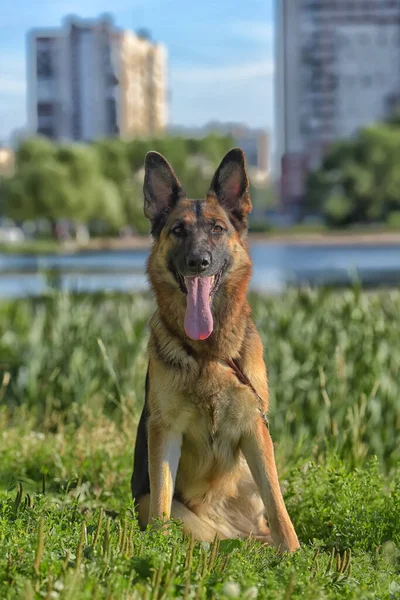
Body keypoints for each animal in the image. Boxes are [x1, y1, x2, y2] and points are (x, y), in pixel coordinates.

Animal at [131, 148, 300, 552]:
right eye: (178, 230)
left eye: (217, 229)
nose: (198, 261)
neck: (207, 354)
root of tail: (231, 533)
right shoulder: (164, 430)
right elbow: (161, 501)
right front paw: (156, 552)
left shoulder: (255, 427)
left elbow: (278, 503)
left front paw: (295, 553)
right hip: (163, 509)